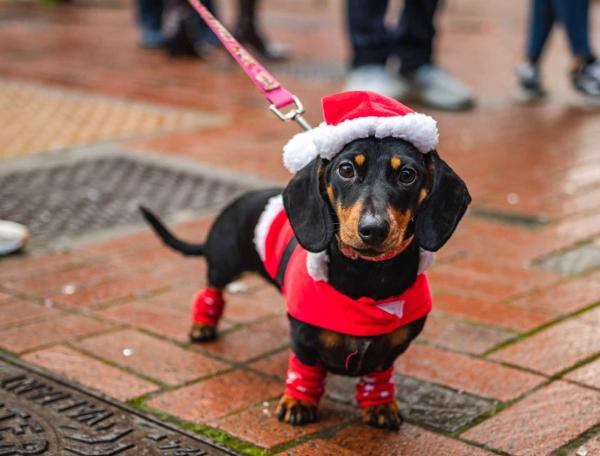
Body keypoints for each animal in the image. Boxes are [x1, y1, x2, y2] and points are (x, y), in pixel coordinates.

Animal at [141, 91, 468, 430]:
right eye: (346, 169)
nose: (373, 229)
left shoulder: (391, 349)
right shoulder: (303, 339)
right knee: (211, 289)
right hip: (224, 263)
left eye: (407, 175)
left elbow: (378, 373)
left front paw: (380, 403)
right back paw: (202, 324)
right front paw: (298, 401)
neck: (367, 279)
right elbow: (305, 368)